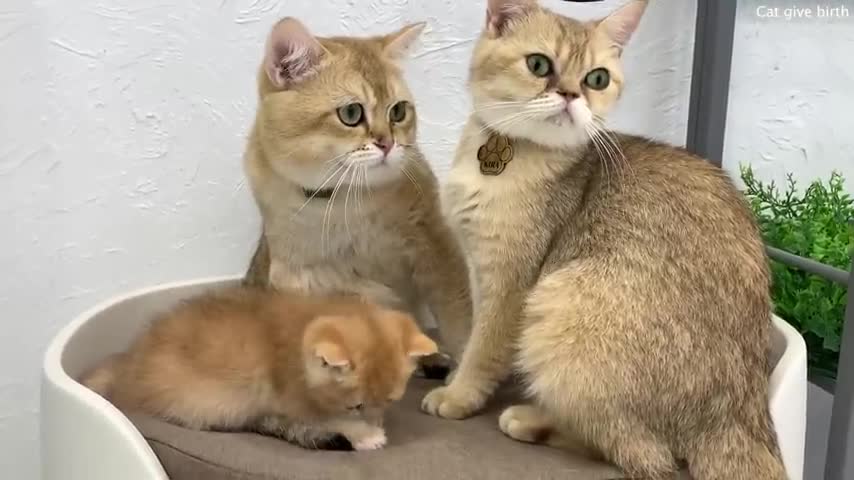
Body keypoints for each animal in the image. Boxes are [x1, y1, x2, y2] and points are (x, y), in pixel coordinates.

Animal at [81, 288, 438, 450]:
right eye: (355, 405)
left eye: (389, 401)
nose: (375, 420)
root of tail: (129, 361)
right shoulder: (293, 400)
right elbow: (328, 418)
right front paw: (366, 434)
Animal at [242, 17, 474, 372]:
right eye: (351, 113)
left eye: (398, 112)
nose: (388, 144)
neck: (343, 201)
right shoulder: (308, 279)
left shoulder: (435, 244)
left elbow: (457, 316)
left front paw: (464, 373)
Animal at [424, 0, 792, 480]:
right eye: (538, 65)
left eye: (596, 78)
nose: (570, 95)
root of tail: (738, 413)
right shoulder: (476, 266)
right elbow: (472, 333)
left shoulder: (509, 283)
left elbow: (484, 345)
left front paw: (459, 394)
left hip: (559, 306)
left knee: (641, 453)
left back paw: (530, 420)